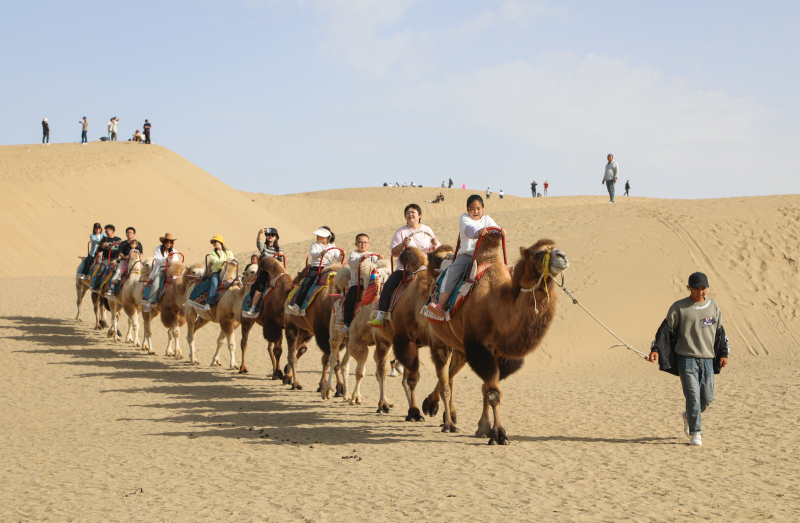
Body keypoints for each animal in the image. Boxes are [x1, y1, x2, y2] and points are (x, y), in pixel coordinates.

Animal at [330, 258, 396, 410]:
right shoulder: (357, 340)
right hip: (336, 334)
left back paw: (346, 395)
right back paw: (326, 391)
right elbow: (360, 372)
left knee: (344, 364)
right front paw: (356, 398)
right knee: (332, 358)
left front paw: (386, 402)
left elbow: (379, 371)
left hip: (348, 341)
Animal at [424, 237, 568, 446]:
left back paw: (435, 408)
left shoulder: (501, 354)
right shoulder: (479, 347)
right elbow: (493, 393)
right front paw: (499, 434)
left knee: (450, 377)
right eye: (537, 253)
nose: (562, 256)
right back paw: (448, 423)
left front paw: (483, 428)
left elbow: (487, 389)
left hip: (460, 349)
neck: (498, 309)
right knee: (445, 383)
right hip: (439, 340)